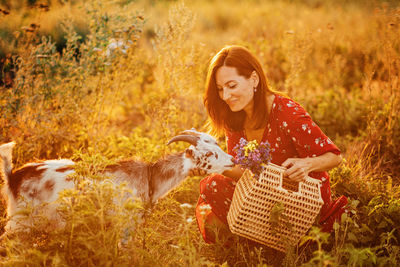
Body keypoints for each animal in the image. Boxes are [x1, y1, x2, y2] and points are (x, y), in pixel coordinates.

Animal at [0, 130, 234, 237]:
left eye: (217, 145)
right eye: (209, 153)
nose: (232, 160)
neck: (150, 177)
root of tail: (13, 177)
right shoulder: (126, 223)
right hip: (20, 222)